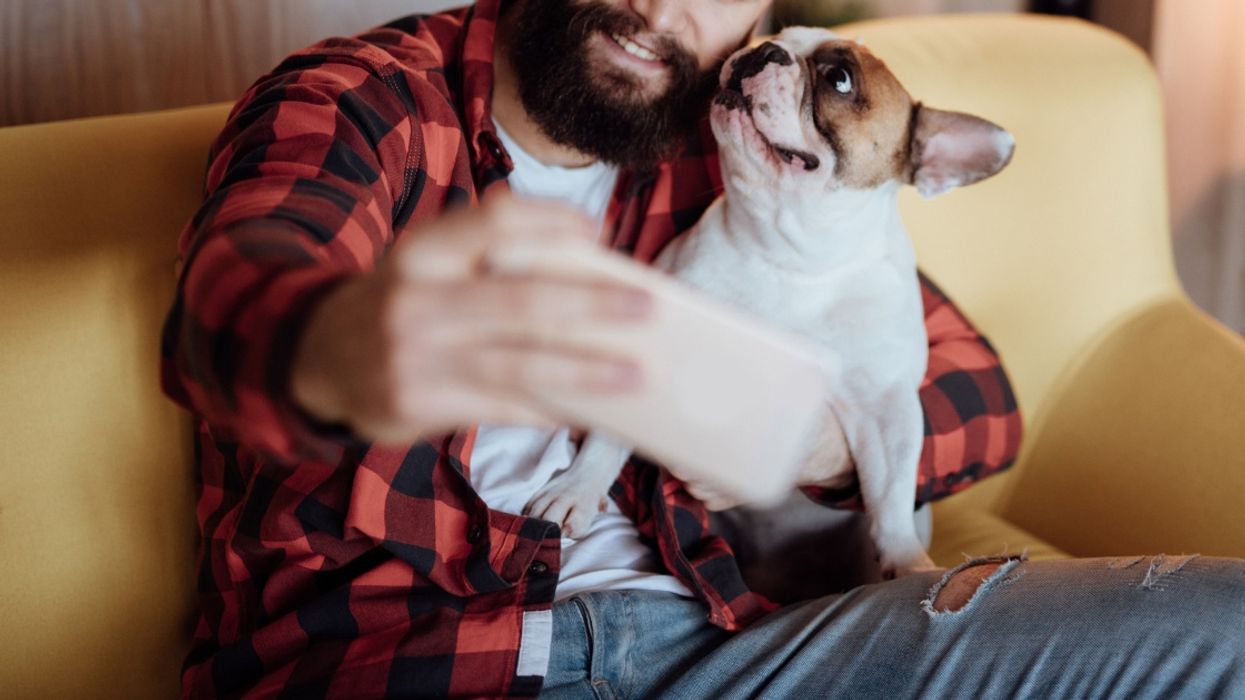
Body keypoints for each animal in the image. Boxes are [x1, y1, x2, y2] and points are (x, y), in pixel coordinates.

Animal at [520, 27, 1015, 577]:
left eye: (840, 79)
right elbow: (608, 436)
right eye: (773, 36)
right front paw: (577, 489)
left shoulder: (887, 408)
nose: (763, 51)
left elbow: (890, 496)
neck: (788, 252)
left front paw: (908, 562)